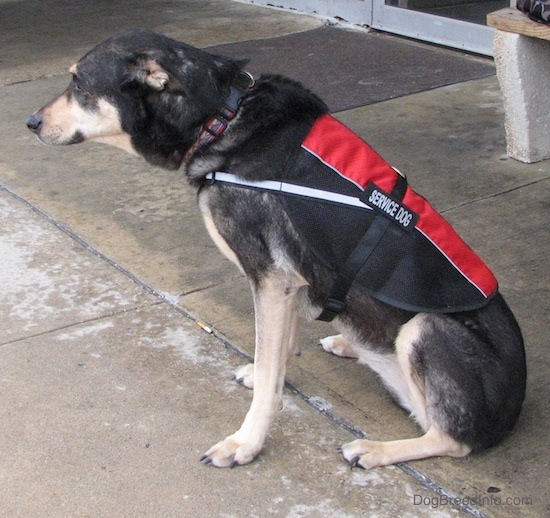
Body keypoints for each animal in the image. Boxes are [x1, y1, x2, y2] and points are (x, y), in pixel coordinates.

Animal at [25, 30, 528, 474]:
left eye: (79, 85)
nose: (29, 123)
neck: (221, 118)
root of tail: (516, 405)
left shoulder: (271, 277)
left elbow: (268, 381)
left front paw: (245, 443)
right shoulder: (287, 283)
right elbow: (279, 351)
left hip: (425, 330)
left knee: (453, 439)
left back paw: (376, 448)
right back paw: (349, 344)